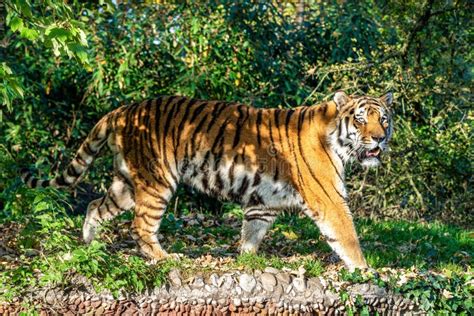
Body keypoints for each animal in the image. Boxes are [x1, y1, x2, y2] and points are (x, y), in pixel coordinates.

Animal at [21, 91, 392, 272]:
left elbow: (251, 233)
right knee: (140, 226)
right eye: (361, 119)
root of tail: (122, 109)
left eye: (384, 119)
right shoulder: (329, 199)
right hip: (157, 181)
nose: (379, 138)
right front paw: (366, 270)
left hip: (126, 183)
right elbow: (347, 236)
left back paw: (89, 246)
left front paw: (246, 260)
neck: (337, 140)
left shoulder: (264, 203)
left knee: (95, 206)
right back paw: (164, 258)